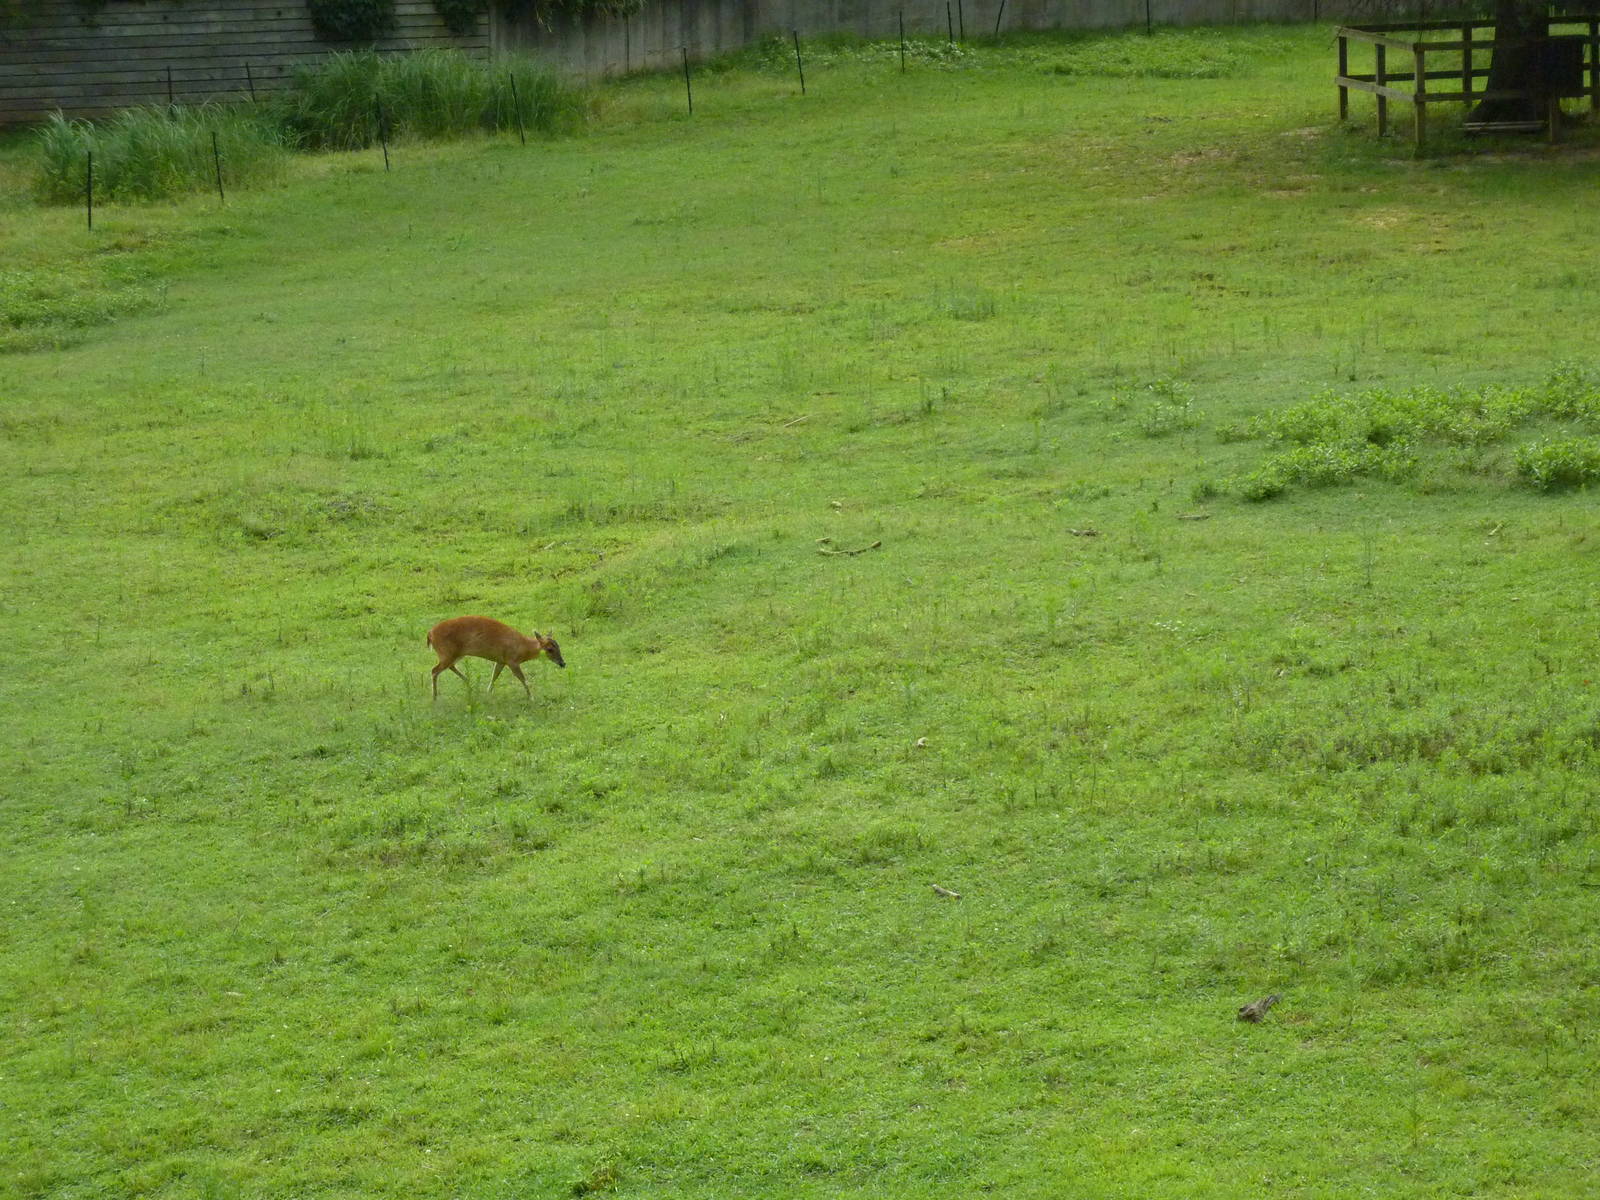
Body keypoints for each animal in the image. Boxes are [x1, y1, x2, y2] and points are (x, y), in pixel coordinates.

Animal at [426, 616, 565, 700]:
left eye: (559, 645)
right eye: (549, 649)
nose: (563, 663)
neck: (522, 648)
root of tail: (430, 634)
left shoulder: (501, 660)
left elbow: (495, 675)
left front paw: (488, 692)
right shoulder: (512, 661)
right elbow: (523, 679)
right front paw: (531, 697)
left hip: (454, 654)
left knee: (448, 666)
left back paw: (469, 683)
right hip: (446, 652)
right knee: (434, 670)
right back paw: (434, 697)